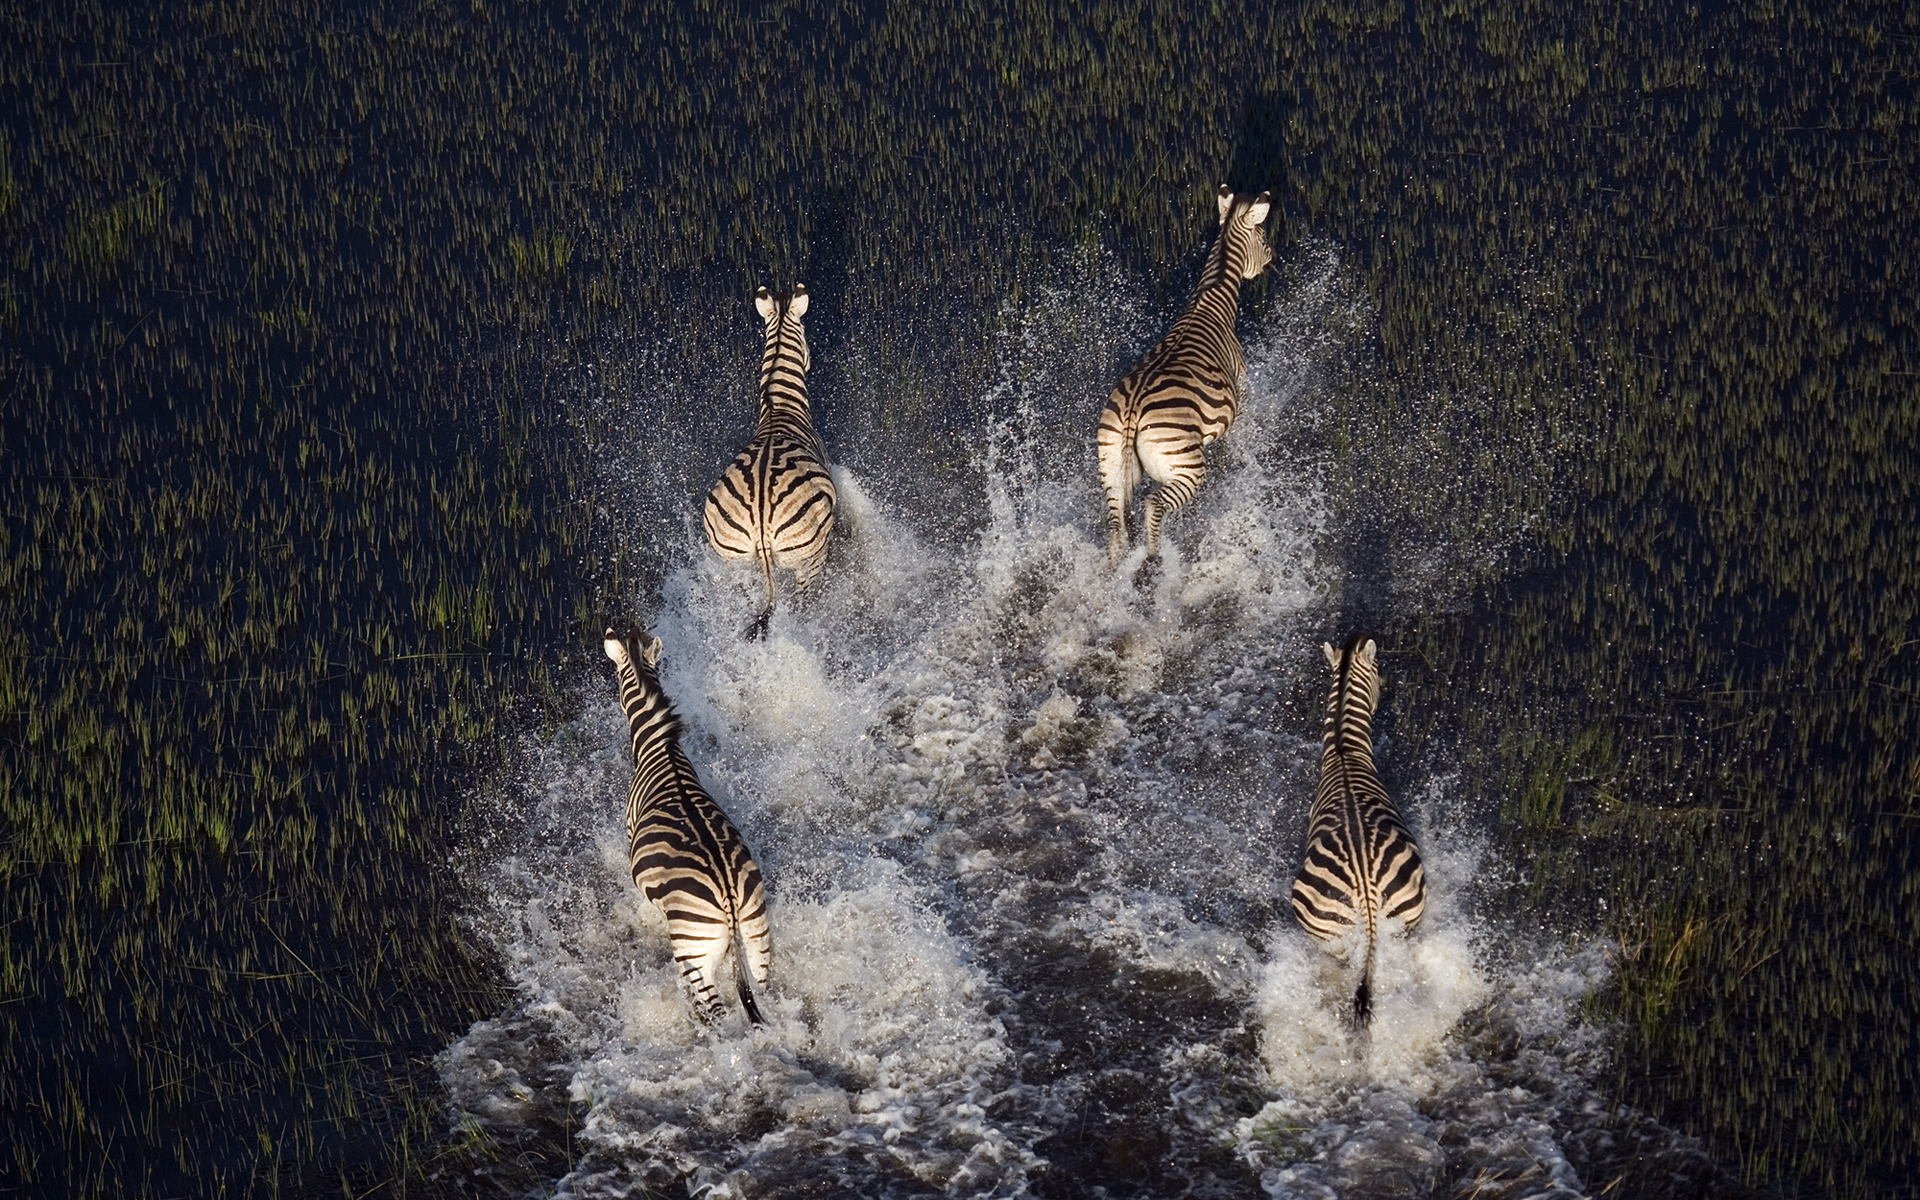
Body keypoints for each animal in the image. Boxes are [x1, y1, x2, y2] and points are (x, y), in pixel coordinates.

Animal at [602, 624, 773, 1026]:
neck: (661, 748)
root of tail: (730, 902)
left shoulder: (630, 829)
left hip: (693, 949)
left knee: (715, 1012)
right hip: (758, 941)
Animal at [703, 284, 837, 639]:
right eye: (805, 336)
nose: (811, 360)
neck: (779, 408)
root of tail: (761, 519)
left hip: (733, 565)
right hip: (808, 560)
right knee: (806, 608)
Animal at [1098, 184, 1274, 565]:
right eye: (1263, 236)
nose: (1271, 259)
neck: (1211, 302)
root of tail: (1132, 410)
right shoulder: (1241, 393)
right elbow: (1242, 436)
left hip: (1111, 467)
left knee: (1116, 529)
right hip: (1186, 467)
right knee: (1153, 504)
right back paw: (1154, 559)